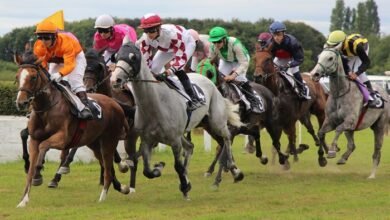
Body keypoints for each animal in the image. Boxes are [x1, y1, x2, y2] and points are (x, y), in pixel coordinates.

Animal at [14, 51, 130, 208]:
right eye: (17, 77)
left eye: (33, 77)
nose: (21, 102)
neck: (47, 108)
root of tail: (116, 104)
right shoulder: (34, 140)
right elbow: (30, 169)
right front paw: (23, 200)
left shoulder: (63, 139)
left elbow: (44, 146)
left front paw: (39, 174)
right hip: (94, 143)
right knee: (107, 167)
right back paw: (121, 187)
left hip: (109, 141)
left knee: (107, 168)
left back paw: (103, 197)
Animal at [109, 41, 244, 198]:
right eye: (116, 57)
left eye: (133, 57)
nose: (115, 79)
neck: (155, 105)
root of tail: (209, 81)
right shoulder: (147, 140)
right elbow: (147, 171)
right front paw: (159, 167)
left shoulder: (174, 140)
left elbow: (177, 166)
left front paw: (185, 187)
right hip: (186, 132)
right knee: (191, 146)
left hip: (216, 122)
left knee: (227, 137)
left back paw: (234, 169)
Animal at [310, 47, 390, 178]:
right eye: (319, 56)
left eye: (330, 58)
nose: (314, 74)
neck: (340, 92)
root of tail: (384, 92)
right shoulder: (331, 121)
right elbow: (320, 133)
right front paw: (322, 159)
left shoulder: (349, 121)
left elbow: (337, 130)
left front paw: (332, 150)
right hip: (351, 129)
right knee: (352, 145)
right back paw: (343, 158)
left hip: (379, 126)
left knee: (377, 151)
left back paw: (372, 175)